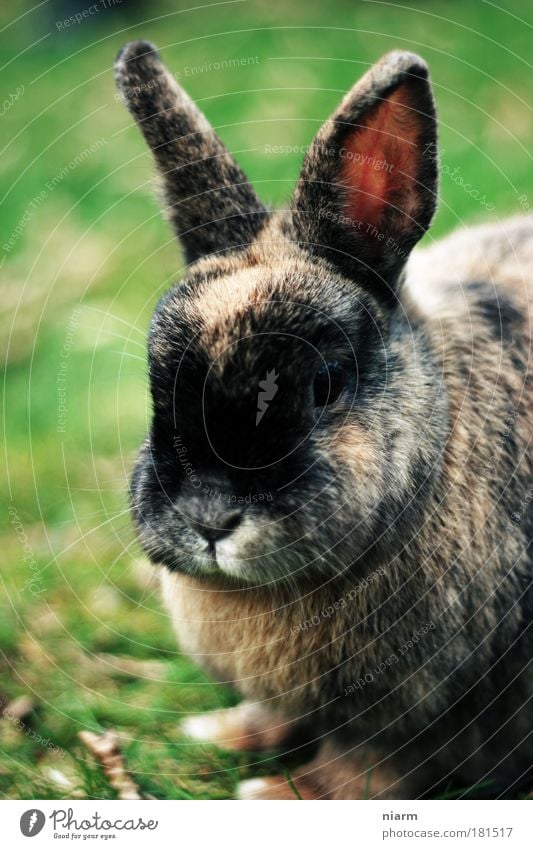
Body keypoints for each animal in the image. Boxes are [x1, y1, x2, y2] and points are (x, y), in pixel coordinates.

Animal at [115, 38, 532, 796]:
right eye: (157, 379)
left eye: (325, 383)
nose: (208, 520)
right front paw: (222, 733)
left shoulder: (418, 728)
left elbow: (360, 774)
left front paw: (273, 794)